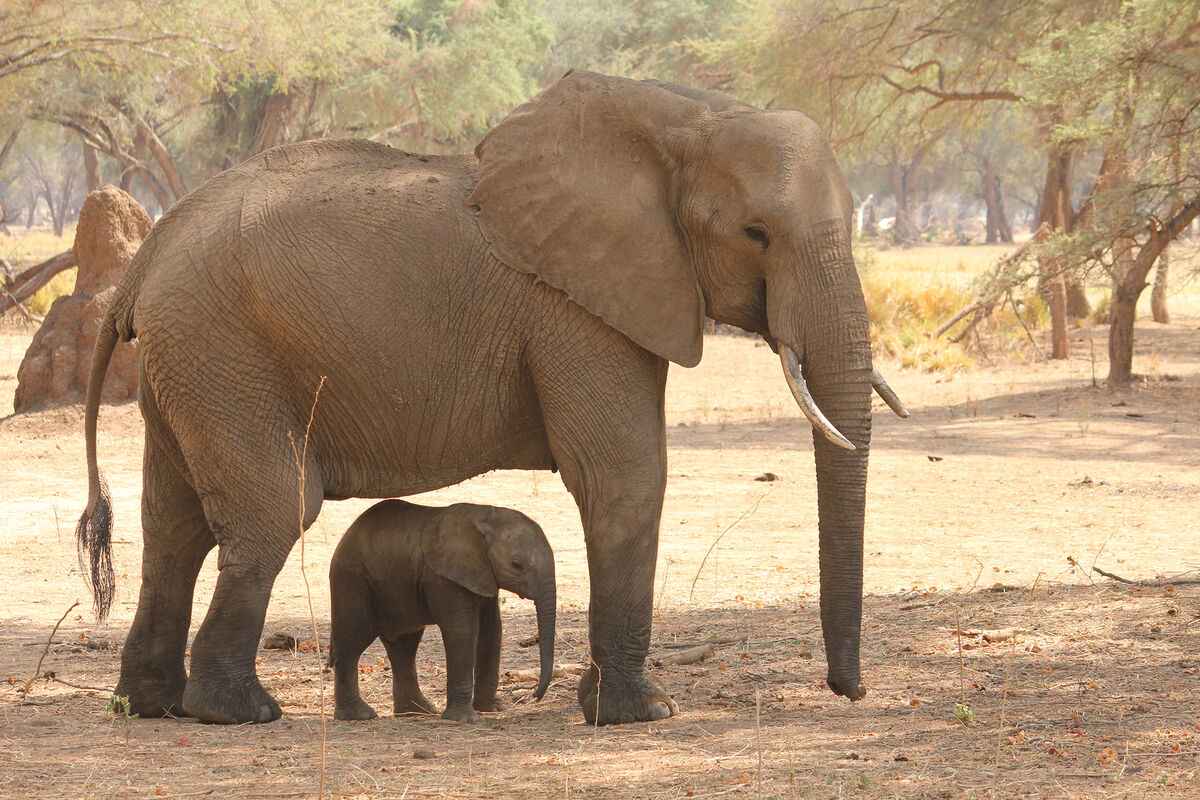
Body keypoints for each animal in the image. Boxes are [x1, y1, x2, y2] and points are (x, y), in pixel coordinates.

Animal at [326, 496, 554, 724]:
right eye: (517, 565)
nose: (534, 696)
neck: (485, 516)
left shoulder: (483, 575)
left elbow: (492, 630)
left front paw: (493, 709)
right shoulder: (442, 577)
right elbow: (462, 631)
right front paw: (464, 719)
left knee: (403, 645)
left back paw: (418, 712)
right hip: (351, 578)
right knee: (353, 641)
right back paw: (360, 715)